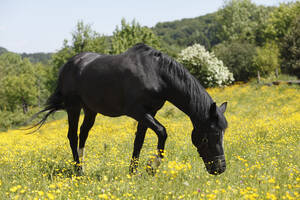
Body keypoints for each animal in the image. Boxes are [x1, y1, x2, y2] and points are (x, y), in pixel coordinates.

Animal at [32, 43, 229, 175]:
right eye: (210, 136)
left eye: (222, 134)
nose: (220, 168)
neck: (156, 74)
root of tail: (69, 65)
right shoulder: (138, 112)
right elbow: (162, 132)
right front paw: (152, 167)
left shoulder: (149, 113)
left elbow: (139, 141)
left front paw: (133, 172)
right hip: (73, 107)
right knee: (72, 135)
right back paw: (78, 171)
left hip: (90, 110)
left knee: (83, 134)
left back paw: (84, 167)